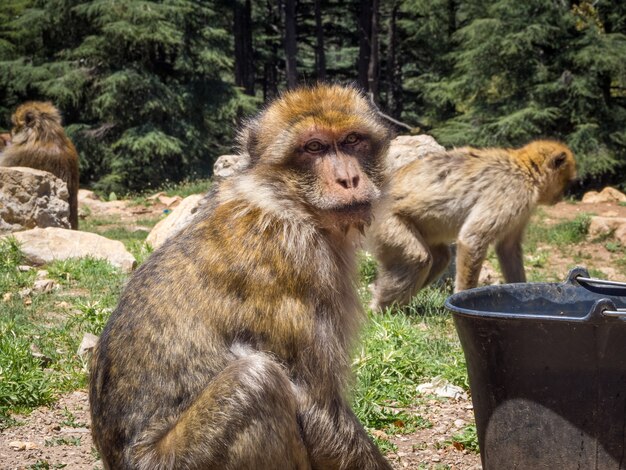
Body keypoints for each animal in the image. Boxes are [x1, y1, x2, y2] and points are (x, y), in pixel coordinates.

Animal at [89, 84, 390, 470]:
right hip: (183, 459)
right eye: (314, 147)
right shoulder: (298, 262)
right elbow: (316, 404)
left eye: (353, 140)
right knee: (257, 380)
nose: (348, 179)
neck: (283, 201)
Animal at [366, 141, 576, 314]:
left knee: (440, 258)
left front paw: (522, 291)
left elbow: (507, 248)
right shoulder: (513, 192)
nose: (562, 196)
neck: (525, 170)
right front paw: (461, 298)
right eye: (566, 181)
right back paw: (379, 310)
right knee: (417, 259)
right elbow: (473, 238)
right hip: (386, 221)